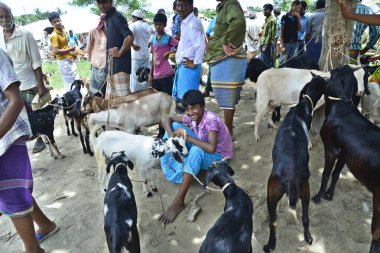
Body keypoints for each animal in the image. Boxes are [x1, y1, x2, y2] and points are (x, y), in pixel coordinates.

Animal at [262, 75, 328, 253]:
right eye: (323, 81)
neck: (302, 106)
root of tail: (290, 176)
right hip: (305, 193)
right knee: (305, 218)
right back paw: (308, 237)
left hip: (271, 196)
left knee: (273, 222)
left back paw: (270, 245)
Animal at [310, 65, 378, 253]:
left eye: (332, 73)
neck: (341, 108)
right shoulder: (345, 155)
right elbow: (335, 175)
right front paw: (329, 195)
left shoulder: (331, 150)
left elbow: (326, 174)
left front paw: (319, 196)